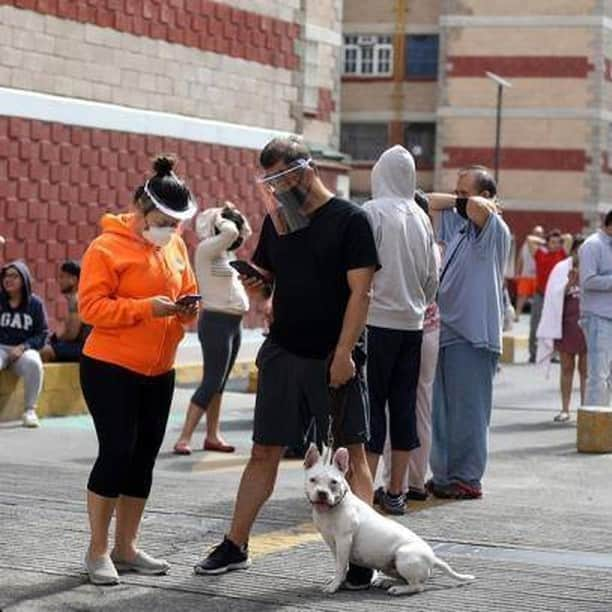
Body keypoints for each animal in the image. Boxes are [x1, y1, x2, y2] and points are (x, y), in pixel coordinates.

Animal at [304, 442, 476, 596]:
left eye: (334, 482)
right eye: (312, 480)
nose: (322, 493)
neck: (332, 509)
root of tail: (433, 558)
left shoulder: (344, 540)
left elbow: (340, 566)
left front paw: (334, 586)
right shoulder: (333, 543)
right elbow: (339, 564)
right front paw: (336, 580)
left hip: (403, 556)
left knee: (417, 586)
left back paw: (398, 590)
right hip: (392, 566)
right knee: (407, 580)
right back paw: (386, 582)